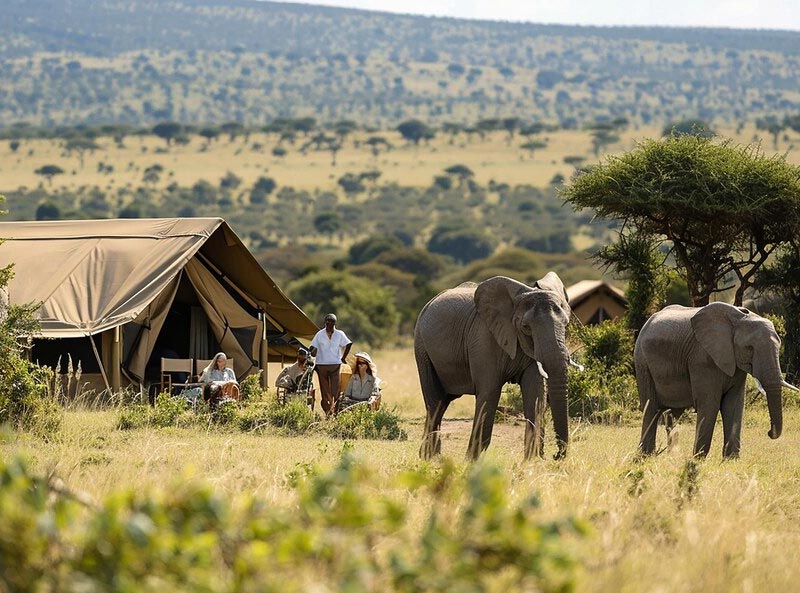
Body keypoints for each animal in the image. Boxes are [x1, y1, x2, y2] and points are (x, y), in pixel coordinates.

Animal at [415, 272, 572, 461]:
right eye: (526, 327)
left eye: (566, 324)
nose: (555, 455)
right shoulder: (483, 337)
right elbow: (490, 390)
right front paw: (472, 461)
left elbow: (535, 393)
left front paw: (532, 461)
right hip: (422, 348)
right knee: (435, 403)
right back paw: (429, 458)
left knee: (442, 402)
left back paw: (432, 457)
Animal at [635, 302, 799, 458]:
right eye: (749, 348)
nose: (769, 433)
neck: (738, 320)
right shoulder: (702, 358)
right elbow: (709, 404)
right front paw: (698, 460)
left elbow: (733, 404)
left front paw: (731, 460)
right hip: (642, 363)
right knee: (651, 408)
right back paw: (645, 457)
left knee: (672, 414)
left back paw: (670, 455)